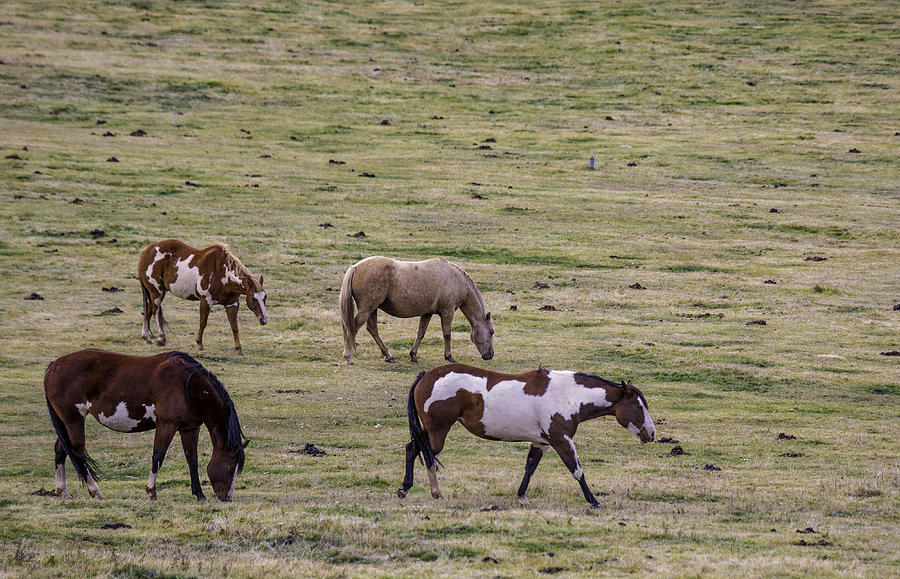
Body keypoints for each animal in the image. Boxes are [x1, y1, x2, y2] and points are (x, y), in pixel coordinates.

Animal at [44, 348, 248, 502]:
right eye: (231, 469)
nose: (227, 498)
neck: (189, 386)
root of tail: (53, 365)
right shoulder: (167, 425)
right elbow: (158, 456)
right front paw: (151, 492)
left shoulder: (189, 428)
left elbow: (192, 459)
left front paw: (199, 493)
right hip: (74, 420)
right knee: (78, 452)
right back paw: (95, 491)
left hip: (67, 423)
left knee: (61, 449)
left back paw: (62, 491)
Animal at [137, 238, 268, 356]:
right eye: (253, 298)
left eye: (265, 297)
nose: (264, 319)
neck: (222, 272)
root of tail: (145, 252)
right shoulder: (206, 300)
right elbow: (203, 322)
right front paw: (199, 344)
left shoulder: (232, 304)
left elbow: (234, 326)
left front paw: (239, 349)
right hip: (156, 293)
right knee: (153, 311)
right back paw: (157, 338)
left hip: (160, 292)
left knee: (150, 310)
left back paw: (150, 337)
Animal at [340, 258, 496, 364]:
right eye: (492, 331)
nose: (490, 355)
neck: (455, 279)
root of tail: (355, 267)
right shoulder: (447, 311)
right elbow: (447, 335)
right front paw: (449, 357)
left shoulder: (427, 313)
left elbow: (421, 333)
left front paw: (413, 355)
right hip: (367, 309)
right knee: (352, 328)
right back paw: (348, 357)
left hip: (372, 309)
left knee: (372, 329)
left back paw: (388, 355)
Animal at [398, 364, 656, 510]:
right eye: (638, 405)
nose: (651, 434)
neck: (570, 395)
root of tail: (426, 375)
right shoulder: (561, 440)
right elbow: (577, 471)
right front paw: (594, 502)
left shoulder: (541, 442)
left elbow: (529, 469)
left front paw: (522, 497)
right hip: (438, 431)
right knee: (425, 455)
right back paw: (434, 493)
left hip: (430, 431)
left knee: (412, 448)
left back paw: (407, 489)